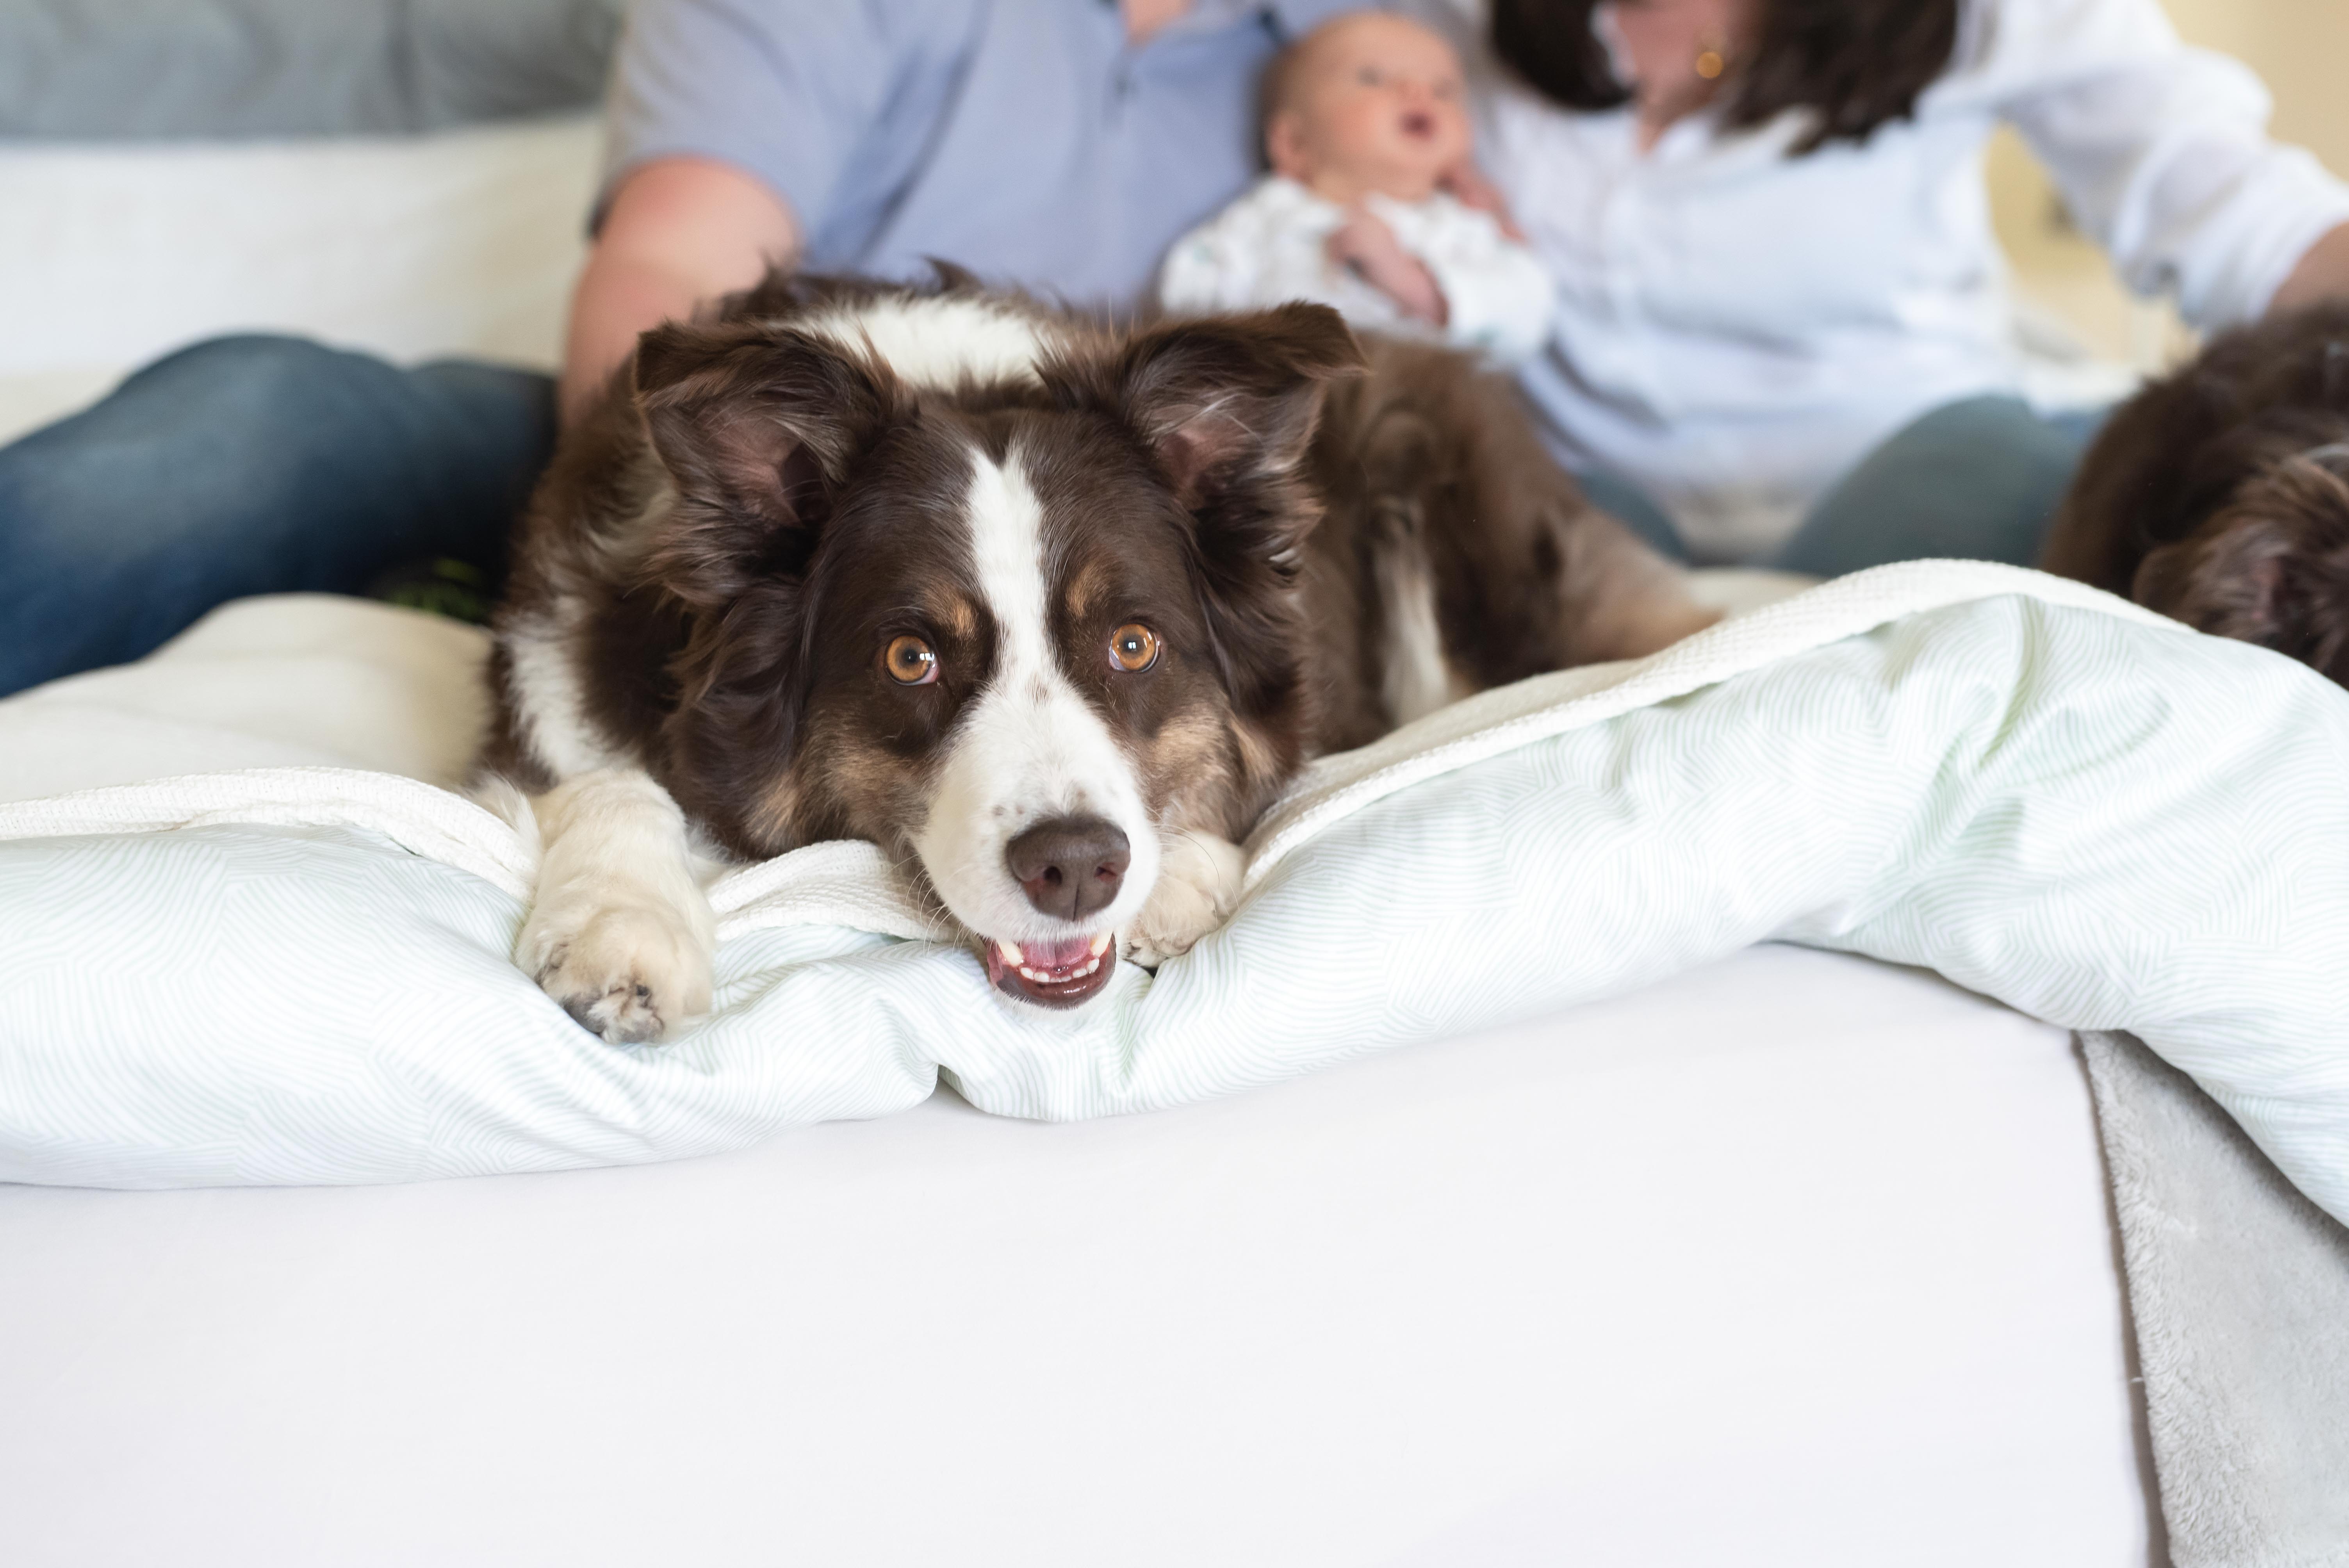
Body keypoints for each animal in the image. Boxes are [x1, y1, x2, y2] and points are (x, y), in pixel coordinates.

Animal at [486, 270, 1719, 1042]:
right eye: (911, 660)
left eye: (1133, 644)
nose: (1077, 868)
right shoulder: (547, 693)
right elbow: (608, 783)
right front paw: (624, 929)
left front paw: (1175, 877)